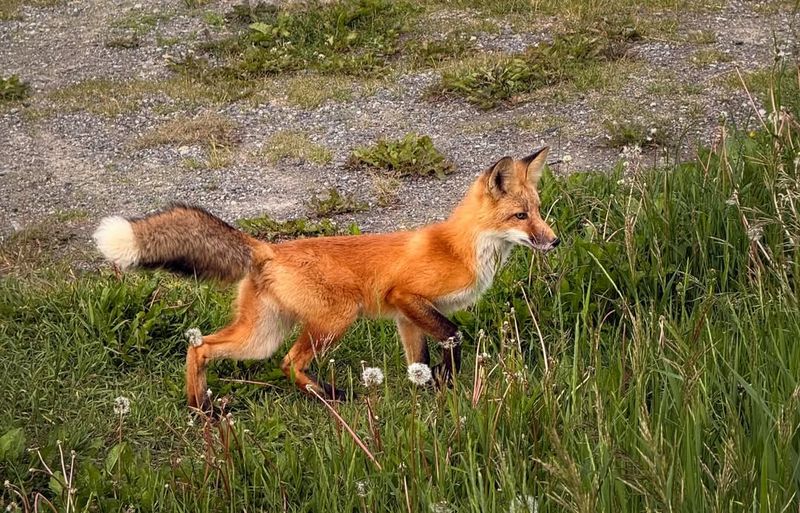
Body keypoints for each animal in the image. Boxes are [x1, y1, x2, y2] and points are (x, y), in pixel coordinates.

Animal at [93, 147, 559, 410]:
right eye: (520, 216)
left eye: (538, 210)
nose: (554, 241)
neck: (459, 248)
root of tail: (267, 248)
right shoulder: (408, 296)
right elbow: (454, 336)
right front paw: (448, 382)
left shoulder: (406, 317)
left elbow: (419, 361)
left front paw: (432, 391)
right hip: (335, 320)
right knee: (288, 363)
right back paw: (330, 397)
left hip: (260, 335)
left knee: (200, 347)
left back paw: (201, 408)